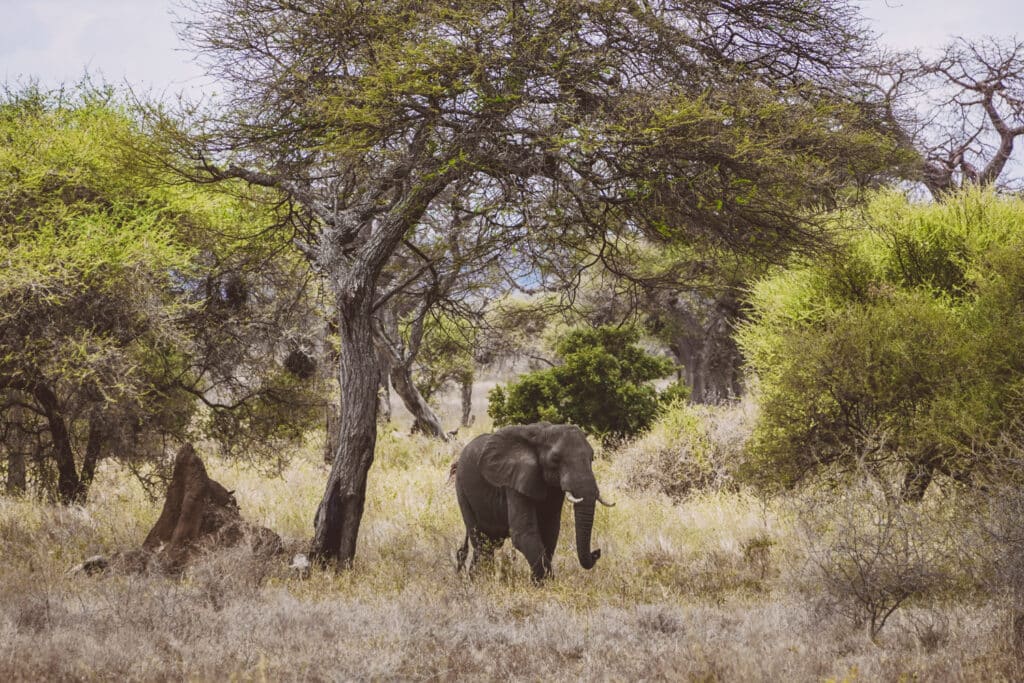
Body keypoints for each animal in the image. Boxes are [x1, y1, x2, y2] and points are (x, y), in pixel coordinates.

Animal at [452, 421, 610, 581]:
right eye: (555, 459)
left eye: (592, 458)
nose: (597, 552)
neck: (542, 433)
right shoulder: (514, 481)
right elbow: (523, 532)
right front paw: (546, 582)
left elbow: (550, 530)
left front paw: (541, 581)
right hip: (462, 490)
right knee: (481, 543)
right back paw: (481, 580)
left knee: (488, 544)